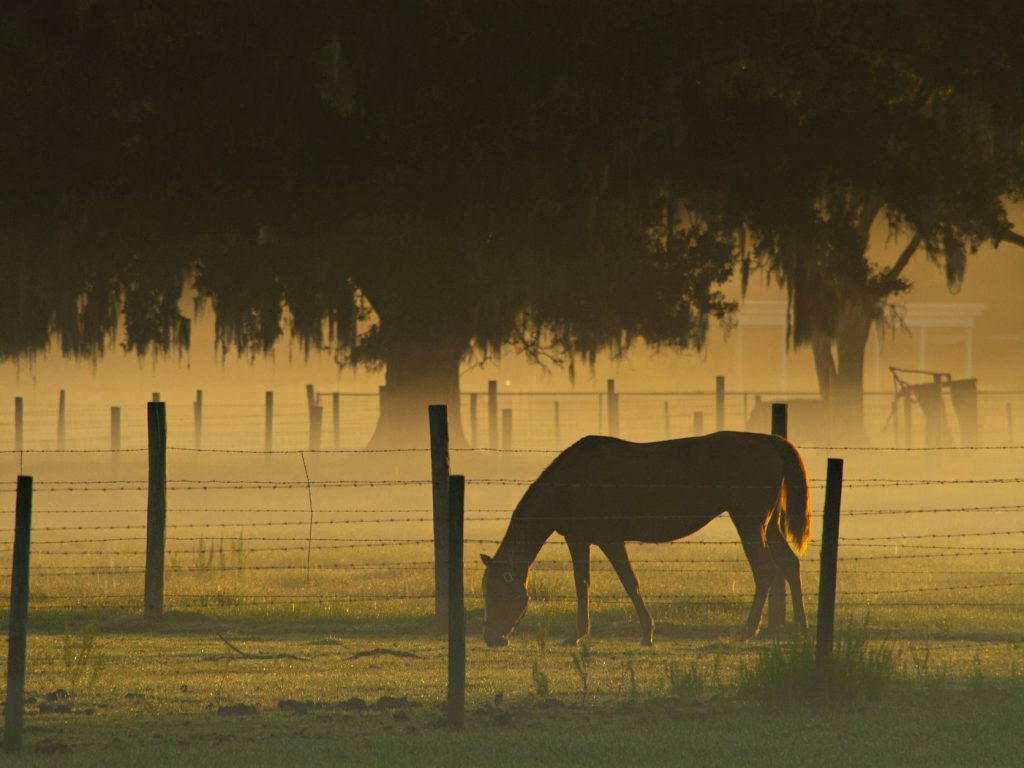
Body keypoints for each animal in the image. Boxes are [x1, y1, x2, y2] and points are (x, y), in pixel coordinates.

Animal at [480, 431, 811, 647]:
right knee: (789, 564)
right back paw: (801, 626)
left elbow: (630, 583)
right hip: (768, 526)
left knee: (766, 571)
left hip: (749, 522)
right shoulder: (579, 539)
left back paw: (749, 630)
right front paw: (578, 634)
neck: (570, 481)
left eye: (497, 593)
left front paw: (647, 633)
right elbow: (582, 585)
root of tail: (771, 441)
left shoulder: (610, 539)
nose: (492, 638)